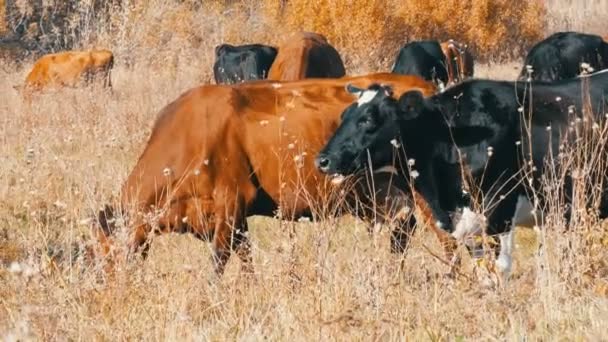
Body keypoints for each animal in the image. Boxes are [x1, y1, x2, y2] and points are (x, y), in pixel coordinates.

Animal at [97, 74, 456, 276]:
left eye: (107, 251)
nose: (105, 288)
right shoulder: (234, 217)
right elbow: (245, 259)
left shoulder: (230, 202)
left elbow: (219, 260)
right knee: (403, 226)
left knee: (446, 235)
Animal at [316, 71, 608, 282]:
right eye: (344, 114)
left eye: (368, 119)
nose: (322, 160)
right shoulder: (467, 226)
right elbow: (482, 272)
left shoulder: (500, 212)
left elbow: (499, 270)